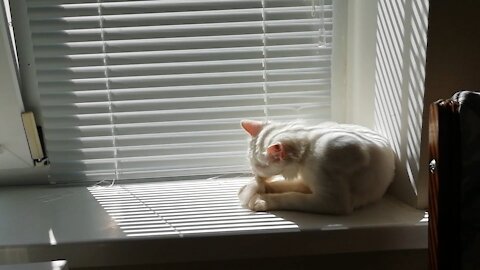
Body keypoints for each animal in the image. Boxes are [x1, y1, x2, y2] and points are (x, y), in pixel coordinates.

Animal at [238, 120, 396, 215]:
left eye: (259, 166)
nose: (254, 173)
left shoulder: (332, 200)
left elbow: (292, 197)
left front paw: (262, 200)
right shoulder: (306, 182)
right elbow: (284, 185)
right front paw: (260, 188)